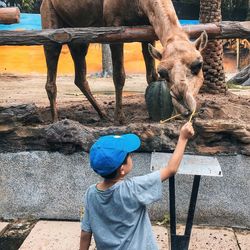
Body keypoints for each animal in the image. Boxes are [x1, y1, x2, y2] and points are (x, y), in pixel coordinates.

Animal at [40, 0, 207, 124]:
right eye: (163, 72)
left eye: (198, 64)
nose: (184, 104)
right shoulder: (114, 27)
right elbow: (119, 76)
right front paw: (119, 119)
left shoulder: (147, 28)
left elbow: (151, 76)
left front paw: (153, 115)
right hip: (50, 20)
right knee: (52, 61)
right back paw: (55, 121)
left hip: (79, 36)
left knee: (80, 76)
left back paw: (103, 115)